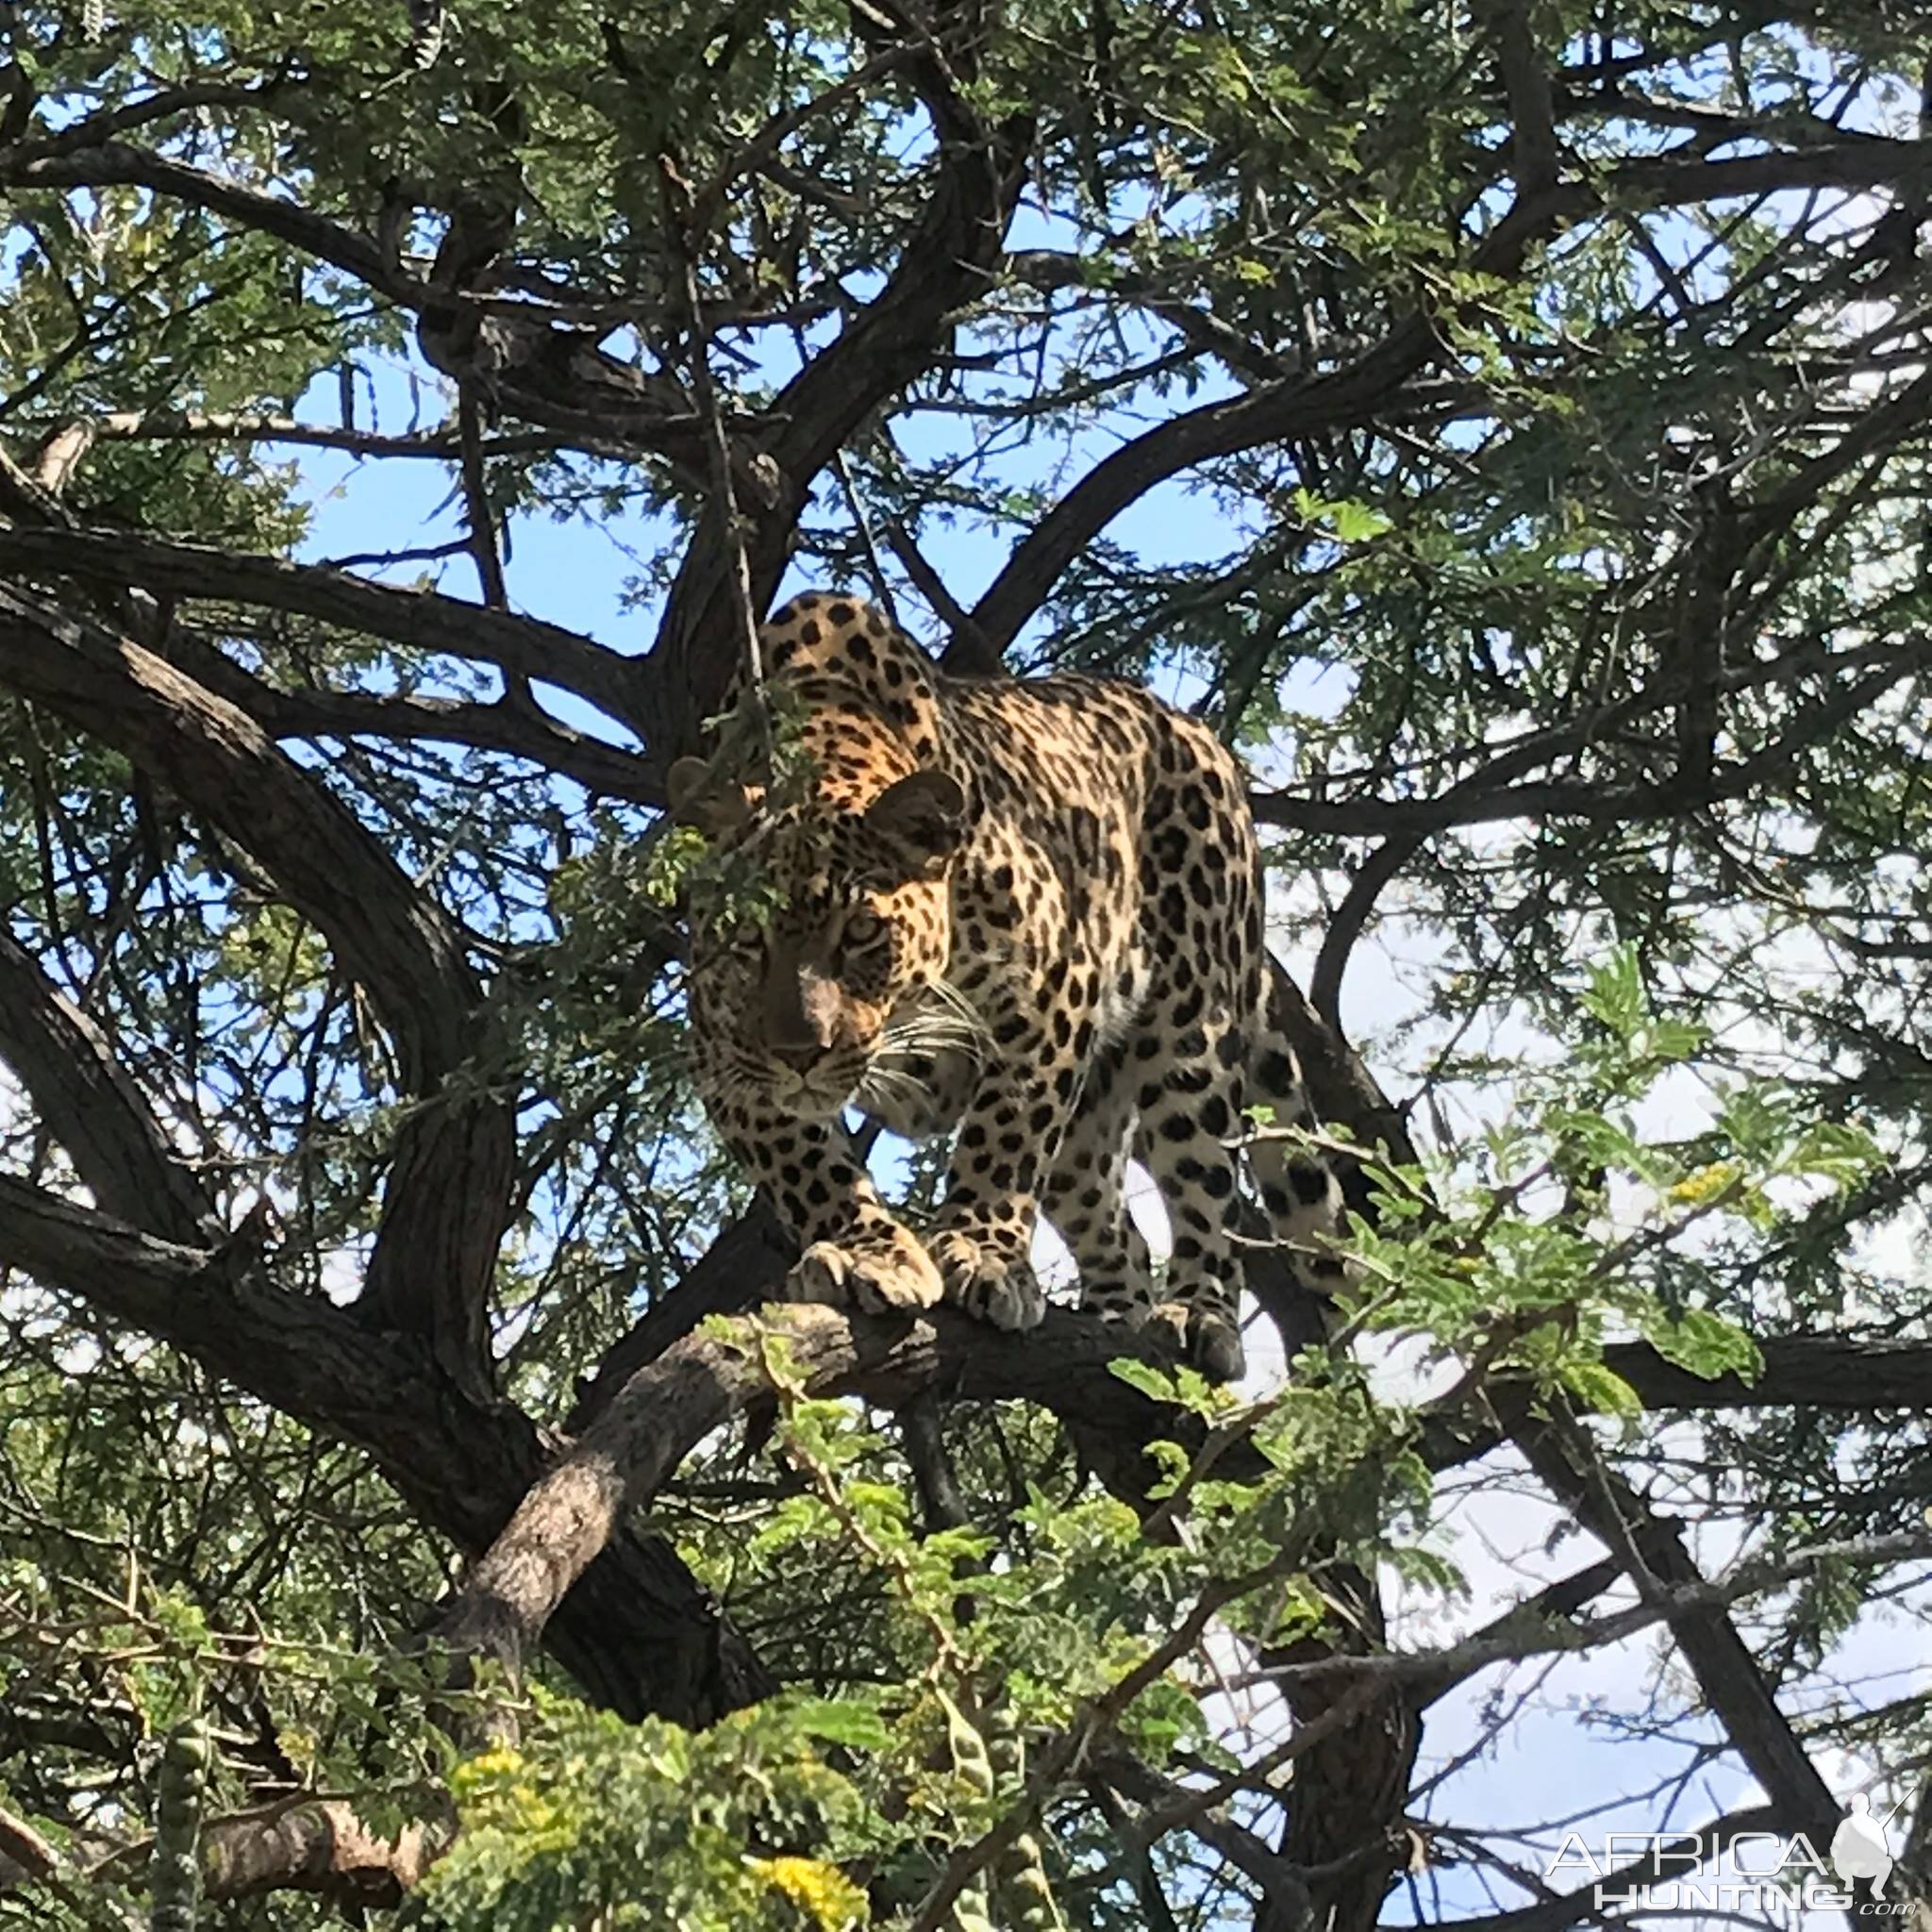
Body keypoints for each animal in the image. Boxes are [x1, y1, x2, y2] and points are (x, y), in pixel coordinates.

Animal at [672, 587, 1352, 1375]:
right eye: (745, 940)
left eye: (862, 933)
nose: (799, 1054)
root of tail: (1193, 728)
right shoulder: (724, 1059)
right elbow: (807, 1167)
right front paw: (867, 1251)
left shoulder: (1054, 991)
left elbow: (1005, 1136)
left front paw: (980, 1253)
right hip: (1091, 1123)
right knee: (1116, 1227)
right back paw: (1112, 1317)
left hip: (1193, 1030)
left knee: (1210, 1188)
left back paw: (1197, 1313)